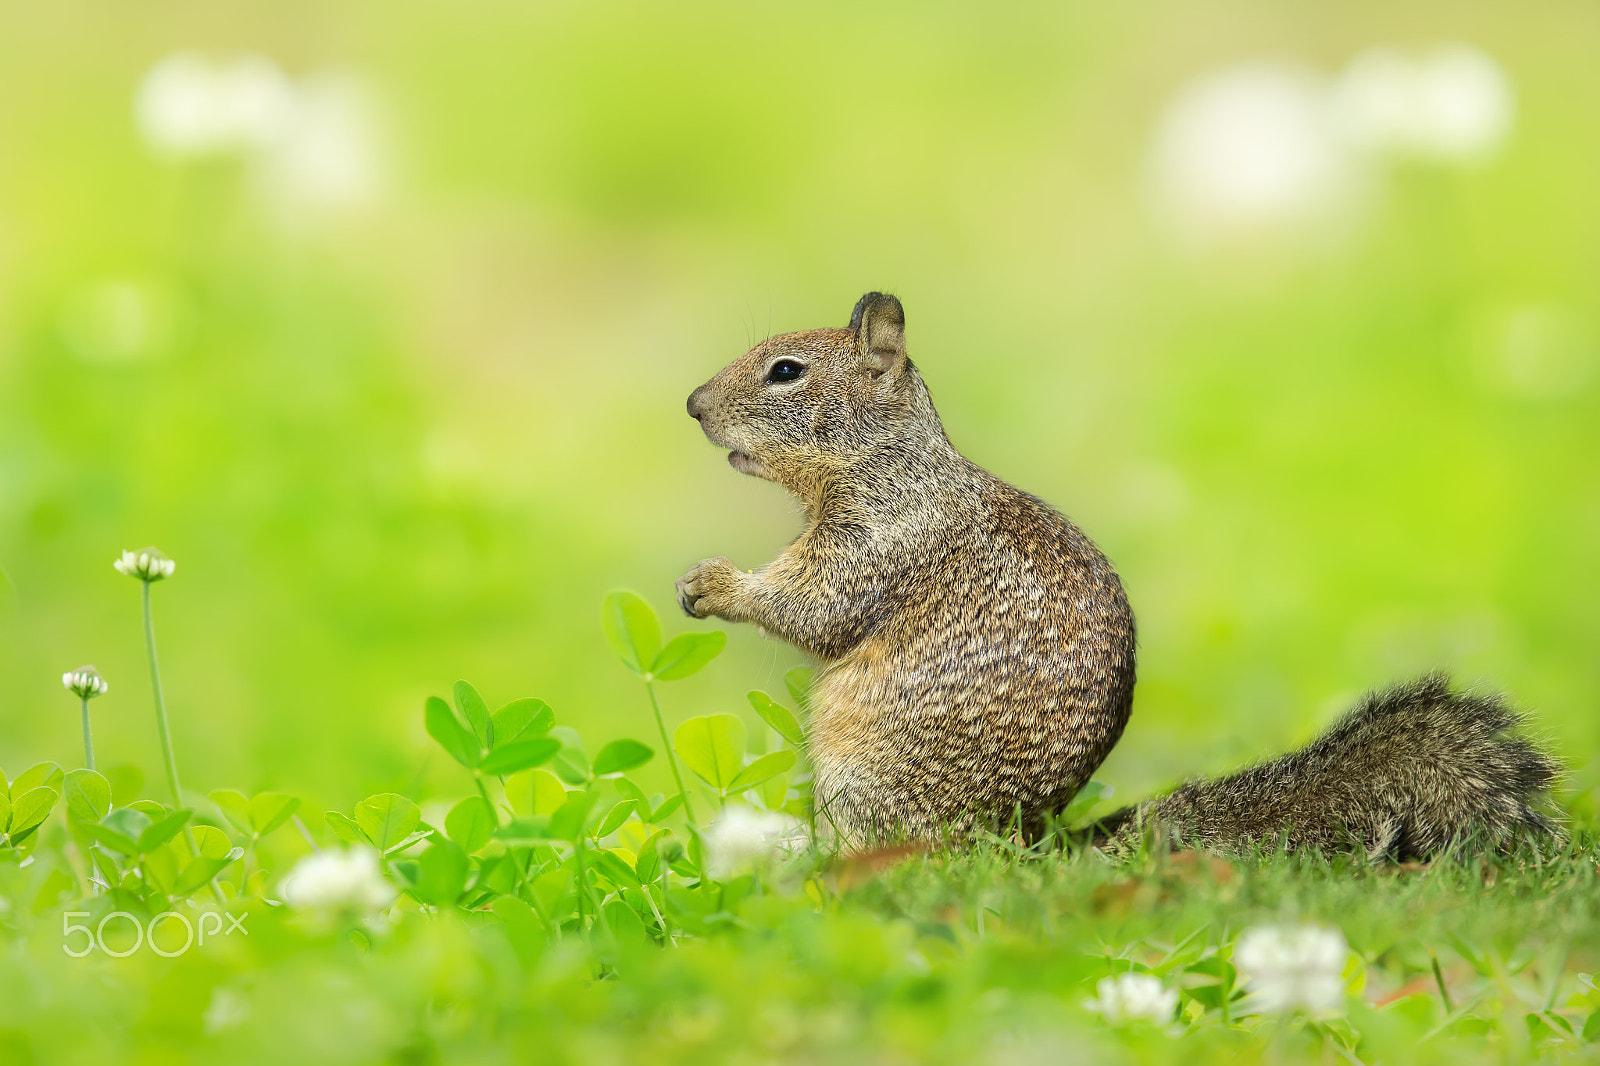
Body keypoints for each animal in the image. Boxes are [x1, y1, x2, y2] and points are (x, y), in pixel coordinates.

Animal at [678, 291, 1561, 857]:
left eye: (785, 371)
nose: (692, 404)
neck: (888, 462)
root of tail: (1023, 843)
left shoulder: (879, 541)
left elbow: (814, 607)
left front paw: (715, 585)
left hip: (857, 783)